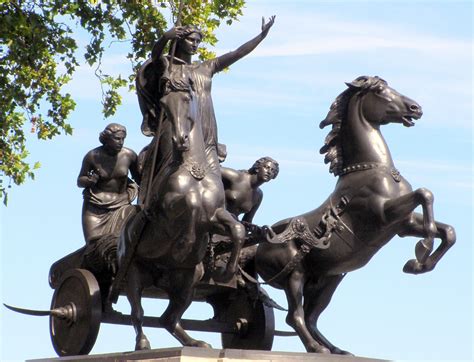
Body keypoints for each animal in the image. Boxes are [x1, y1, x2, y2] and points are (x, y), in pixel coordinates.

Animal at [117, 71, 244, 350]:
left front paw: (227, 270)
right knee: (137, 313)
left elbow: (237, 229)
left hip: (188, 279)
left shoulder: (216, 216)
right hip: (133, 273)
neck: (195, 171)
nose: (180, 140)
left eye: (187, 99)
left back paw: (195, 342)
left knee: (168, 318)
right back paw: (142, 343)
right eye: (164, 105)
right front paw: (184, 244)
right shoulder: (167, 213)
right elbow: (190, 209)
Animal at [256, 75, 456, 354]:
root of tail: (255, 250)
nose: (416, 108)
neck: (372, 168)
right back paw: (317, 349)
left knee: (311, 317)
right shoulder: (384, 214)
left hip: (327, 281)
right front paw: (421, 251)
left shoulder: (402, 224)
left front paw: (417, 265)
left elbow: (447, 231)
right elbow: (425, 194)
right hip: (294, 277)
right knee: (294, 316)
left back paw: (336, 350)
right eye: (381, 90)